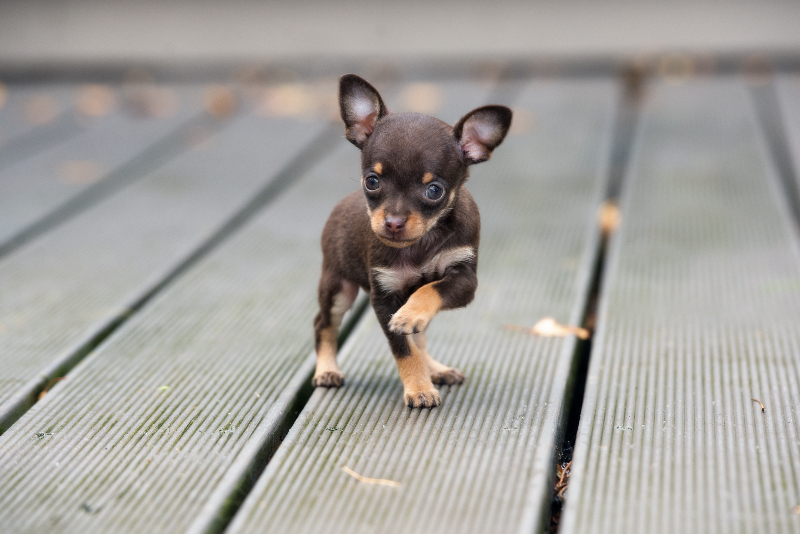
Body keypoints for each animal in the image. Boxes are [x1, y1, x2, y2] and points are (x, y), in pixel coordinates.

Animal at [312, 75, 512, 410]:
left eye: (434, 191)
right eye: (372, 181)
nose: (393, 223)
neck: (421, 243)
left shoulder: (463, 280)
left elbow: (428, 293)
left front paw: (411, 320)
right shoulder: (383, 298)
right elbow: (404, 349)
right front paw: (419, 387)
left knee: (418, 334)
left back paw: (436, 368)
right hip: (338, 287)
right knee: (323, 324)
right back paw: (327, 370)